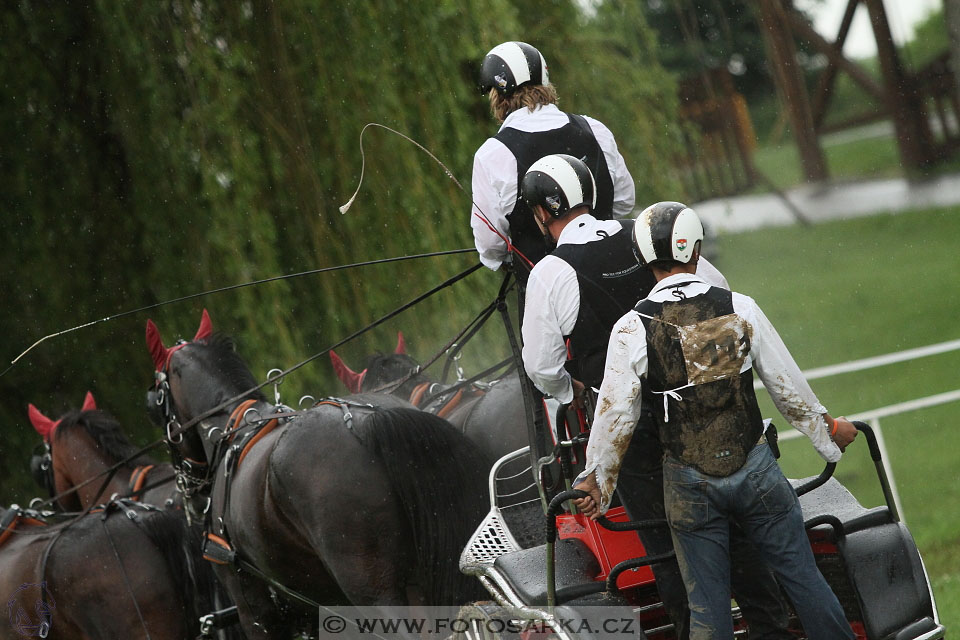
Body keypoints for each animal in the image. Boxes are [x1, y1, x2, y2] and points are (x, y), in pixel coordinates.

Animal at [146, 310, 492, 636]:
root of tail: (368, 420)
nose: (188, 491)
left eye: (153, 405)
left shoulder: (253, 609)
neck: (234, 428)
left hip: (374, 592)